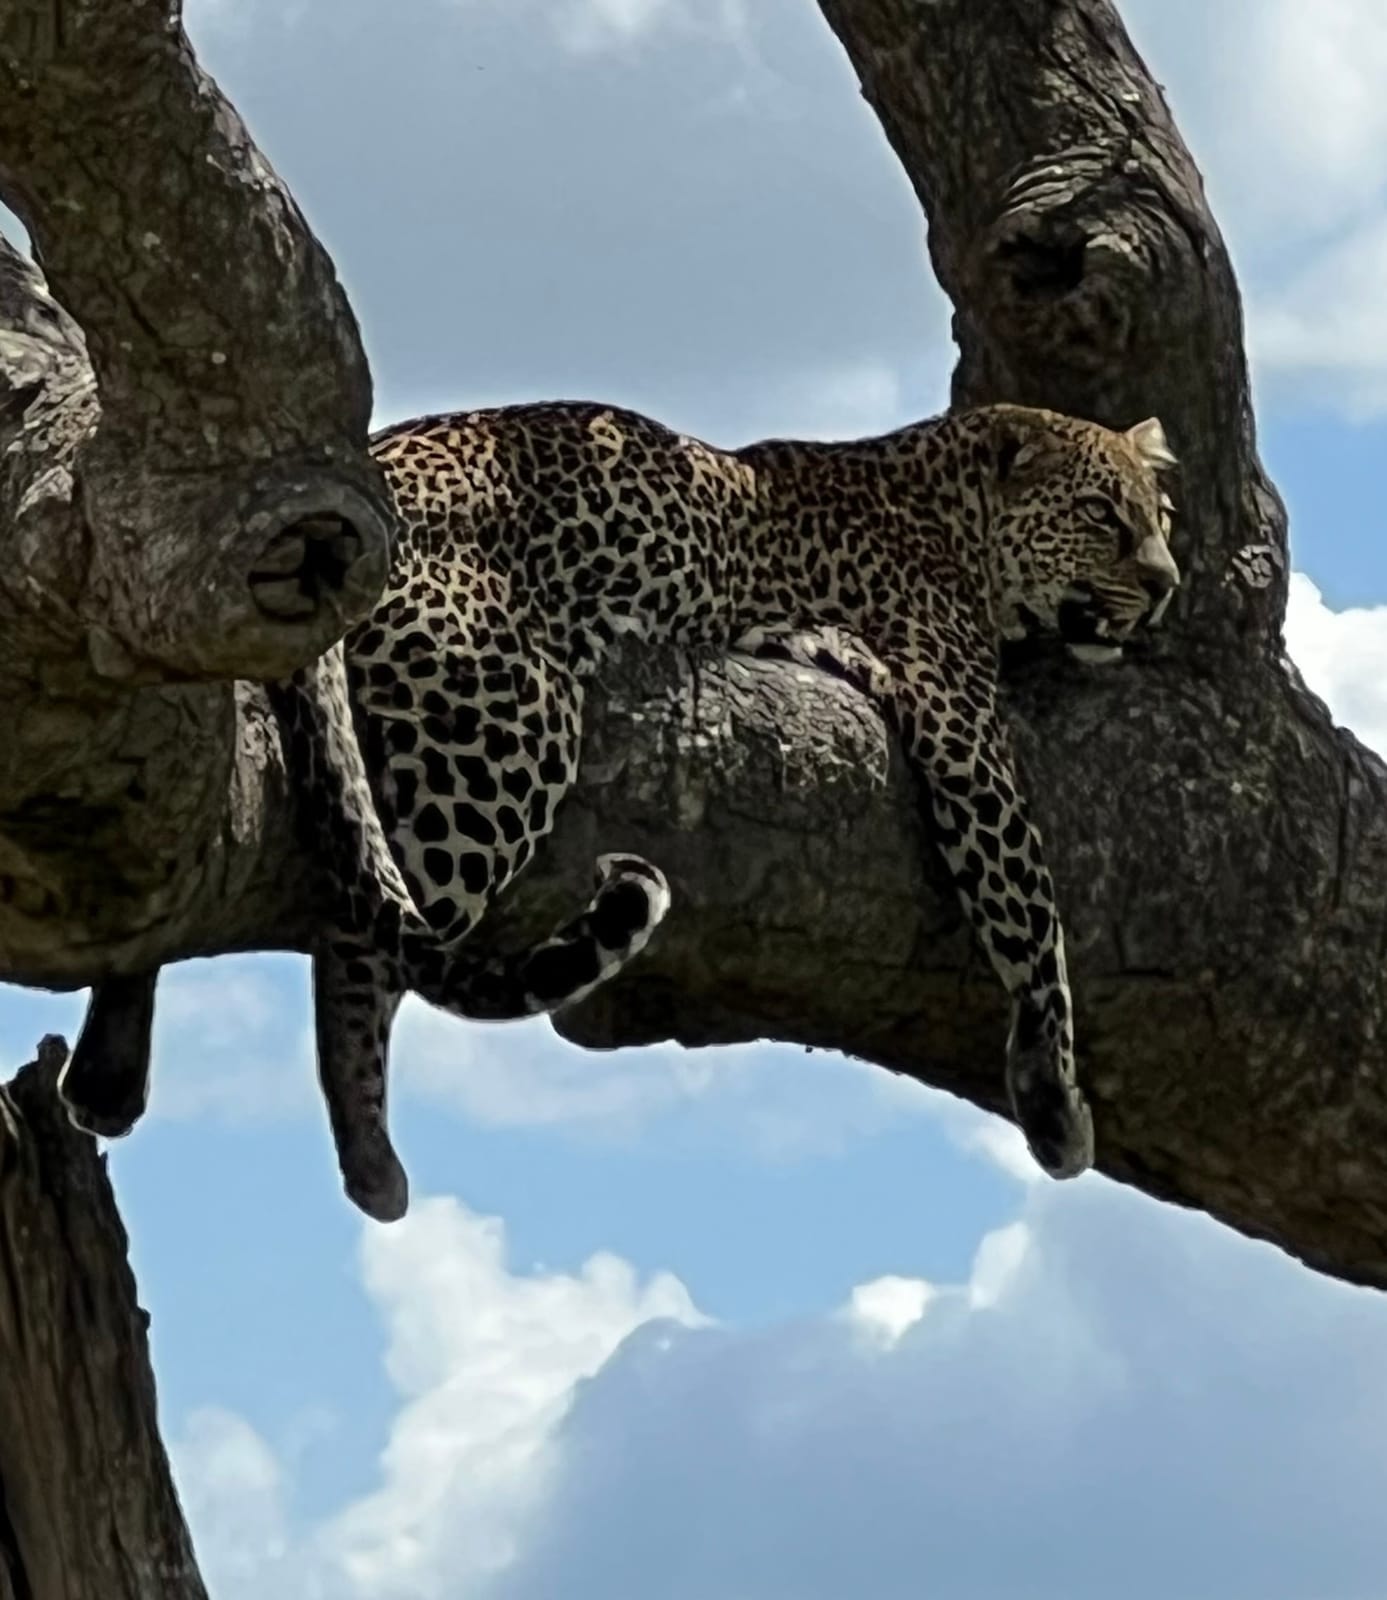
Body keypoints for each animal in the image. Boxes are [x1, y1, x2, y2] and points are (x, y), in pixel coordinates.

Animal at [59, 398, 1178, 1225]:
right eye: (1105, 517)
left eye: (1159, 518)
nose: (1167, 586)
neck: (949, 503)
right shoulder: (960, 724)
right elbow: (1031, 912)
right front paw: (1054, 1104)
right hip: (502, 730)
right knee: (360, 939)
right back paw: (369, 1156)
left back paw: (109, 1066)